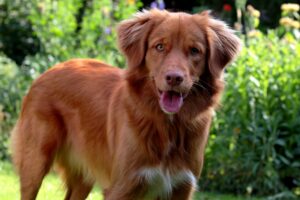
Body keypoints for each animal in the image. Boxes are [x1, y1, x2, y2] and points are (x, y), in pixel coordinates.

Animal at [11, 9, 241, 200]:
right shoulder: (123, 187)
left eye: (194, 51)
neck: (167, 126)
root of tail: (48, 70)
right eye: (159, 46)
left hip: (84, 176)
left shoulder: (181, 188)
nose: (174, 78)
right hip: (35, 163)